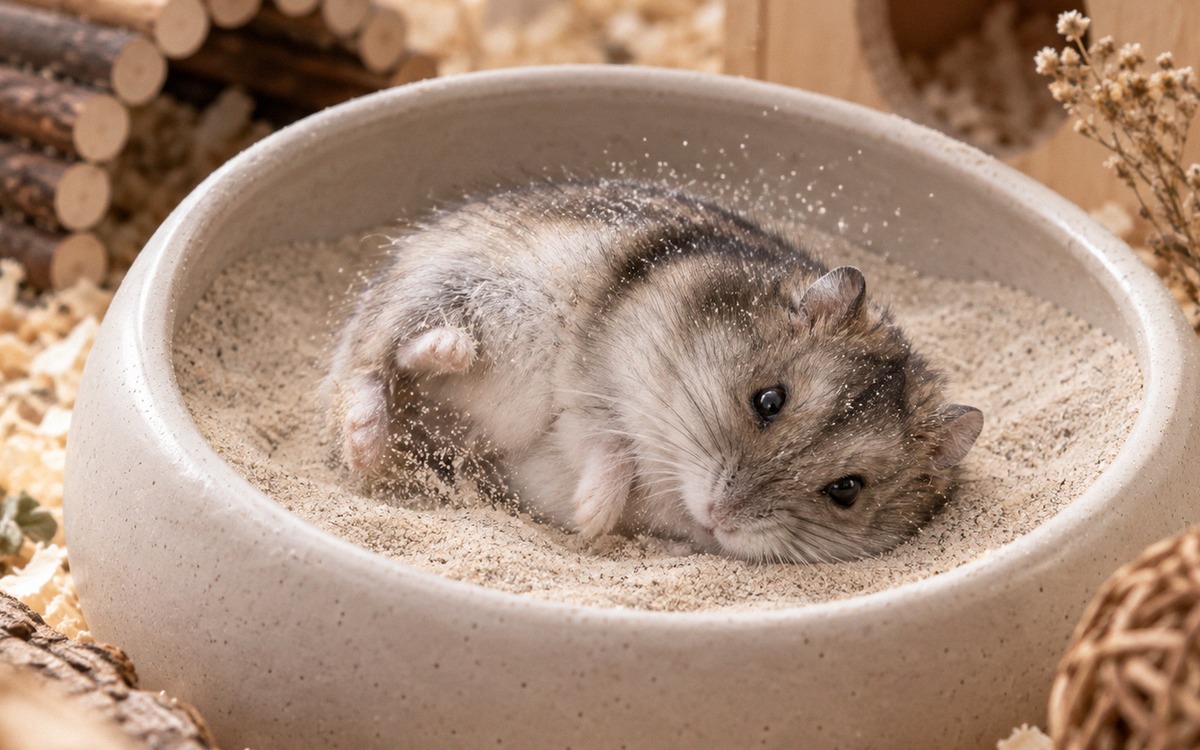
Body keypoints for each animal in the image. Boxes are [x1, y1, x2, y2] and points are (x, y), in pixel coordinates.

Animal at [329, 179, 983, 563]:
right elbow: (607, 438)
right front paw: (594, 515)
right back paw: (409, 394)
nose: (721, 518)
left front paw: (590, 520)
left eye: (846, 491)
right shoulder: (597, 373)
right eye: (769, 400)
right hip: (449, 287)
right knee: (373, 361)